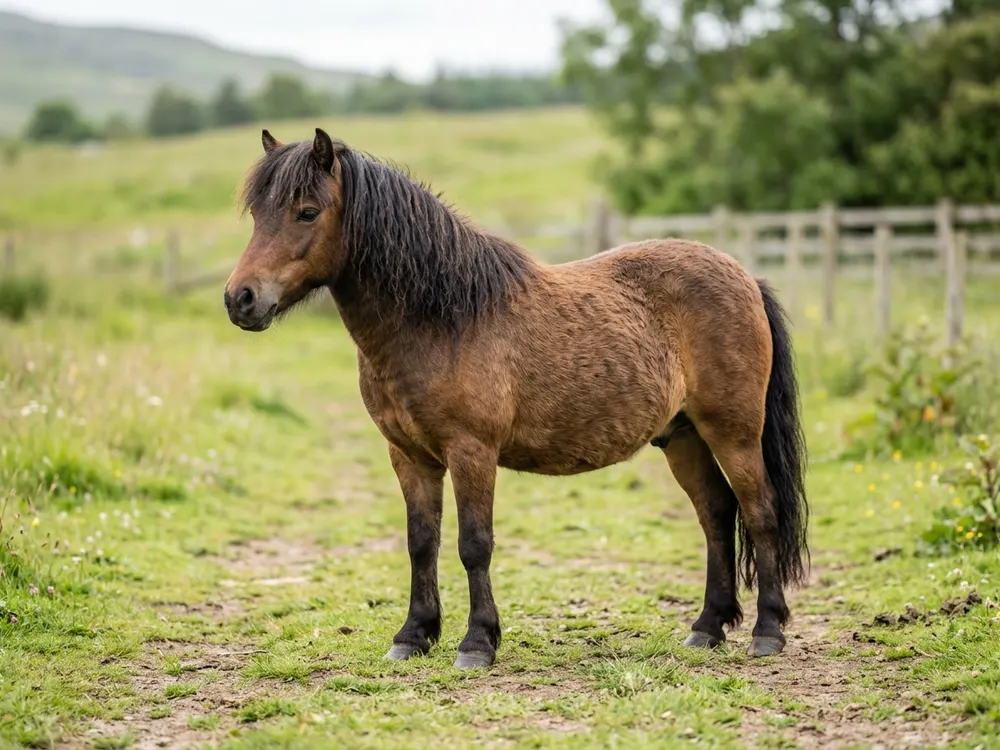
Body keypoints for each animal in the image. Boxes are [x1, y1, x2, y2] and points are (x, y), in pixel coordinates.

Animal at [224, 127, 809, 669]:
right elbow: (421, 542)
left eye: (306, 212)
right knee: (716, 514)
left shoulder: (472, 451)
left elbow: (473, 544)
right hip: (683, 436)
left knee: (759, 511)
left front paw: (477, 643)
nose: (240, 299)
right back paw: (707, 627)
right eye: (257, 212)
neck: (441, 318)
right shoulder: (409, 456)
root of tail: (745, 276)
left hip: (733, 431)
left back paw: (767, 632)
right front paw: (413, 636)